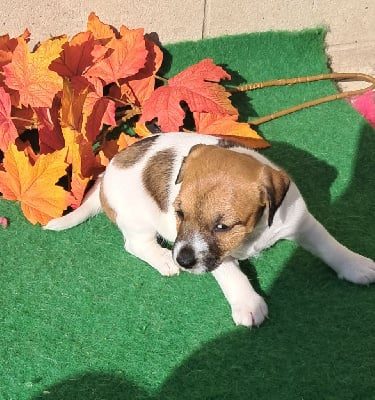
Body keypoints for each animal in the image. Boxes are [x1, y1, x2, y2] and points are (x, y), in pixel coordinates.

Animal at [44, 133, 375, 326]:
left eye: (222, 226)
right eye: (179, 213)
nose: (183, 261)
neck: (253, 234)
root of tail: (104, 177)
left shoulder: (300, 220)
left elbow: (329, 244)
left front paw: (356, 265)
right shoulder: (210, 256)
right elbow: (231, 273)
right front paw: (248, 303)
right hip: (137, 219)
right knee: (135, 244)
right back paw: (162, 259)